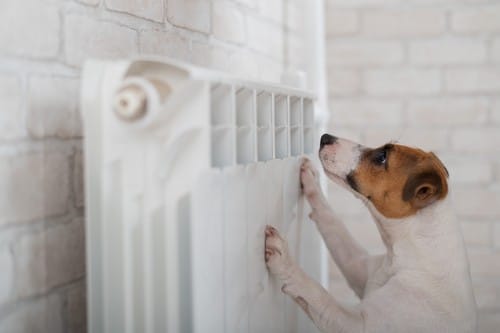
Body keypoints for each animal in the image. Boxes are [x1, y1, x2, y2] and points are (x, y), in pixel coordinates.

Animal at [264, 134, 474, 332]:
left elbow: (320, 295)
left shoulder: (357, 324)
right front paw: (312, 182)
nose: (325, 137)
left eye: (382, 157)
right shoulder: (358, 267)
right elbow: (332, 223)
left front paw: (285, 260)